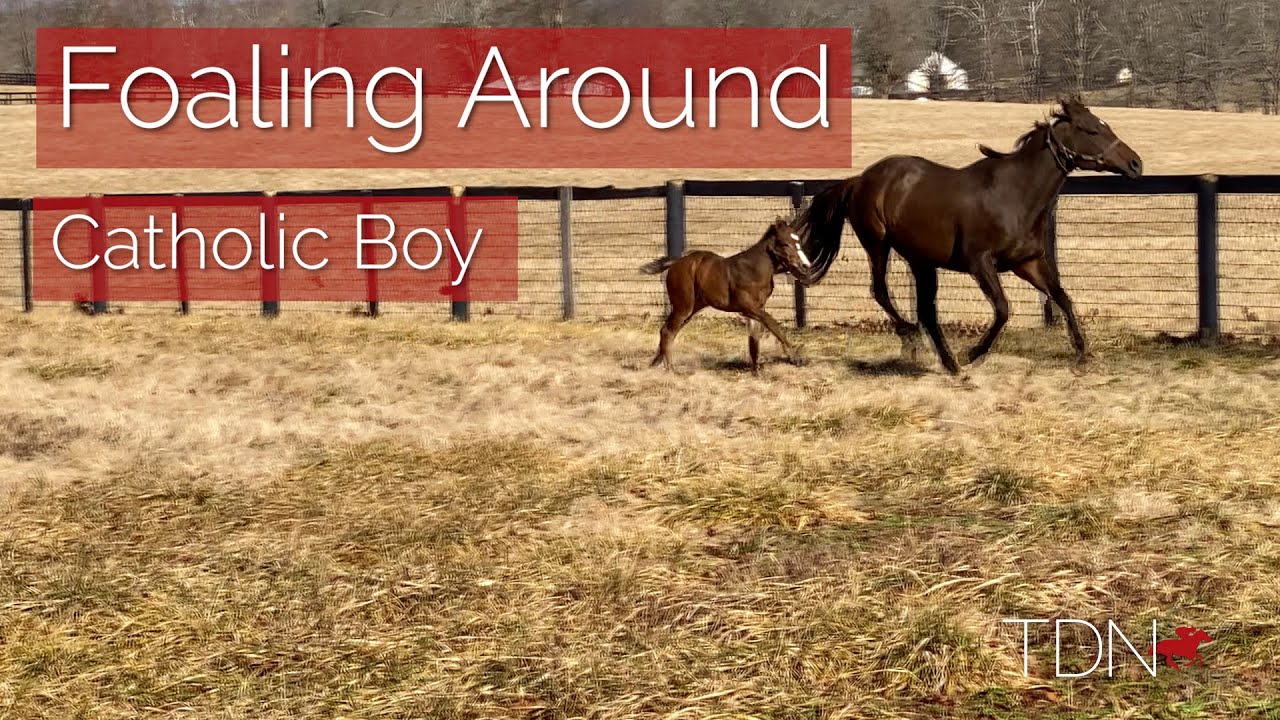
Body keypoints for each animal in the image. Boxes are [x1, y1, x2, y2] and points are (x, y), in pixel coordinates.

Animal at [641, 216, 813, 373]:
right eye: (785, 244)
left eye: (798, 241)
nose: (805, 265)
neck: (754, 270)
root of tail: (676, 262)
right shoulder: (749, 308)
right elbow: (773, 325)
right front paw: (794, 357)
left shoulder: (757, 309)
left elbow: (754, 340)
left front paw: (756, 370)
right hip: (683, 306)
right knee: (668, 331)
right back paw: (670, 368)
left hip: (692, 308)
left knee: (668, 330)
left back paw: (656, 362)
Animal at [796, 96, 1143, 374]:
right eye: (1091, 130)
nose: (1135, 163)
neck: (1015, 195)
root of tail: (859, 180)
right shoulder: (980, 262)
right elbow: (1003, 309)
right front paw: (972, 353)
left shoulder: (1028, 263)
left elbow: (1062, 297)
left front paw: (1084, 353)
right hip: (878, 244)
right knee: (881, 291)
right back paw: (915, 340)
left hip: (921, 261)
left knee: (926, 311)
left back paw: (948, 362)